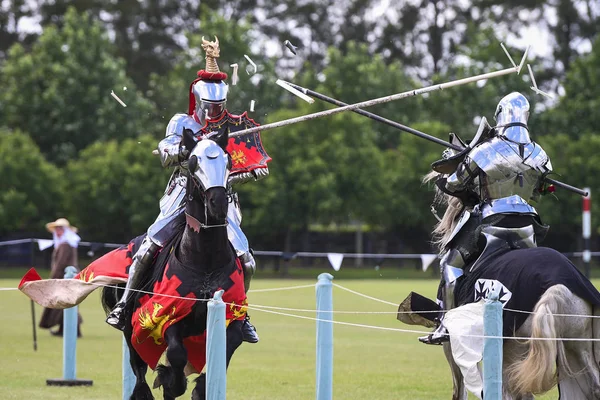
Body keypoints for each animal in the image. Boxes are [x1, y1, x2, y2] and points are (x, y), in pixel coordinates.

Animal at [102, 136, 245, 398]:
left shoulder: (231, 316)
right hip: (131, 330)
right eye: (193, 162)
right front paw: (173, 382)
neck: (204, 260)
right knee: (139, 371)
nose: (218, 204)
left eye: (228, 161)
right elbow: (176, 356)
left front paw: (201, 387)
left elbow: (228, 346)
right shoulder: (166, 316)